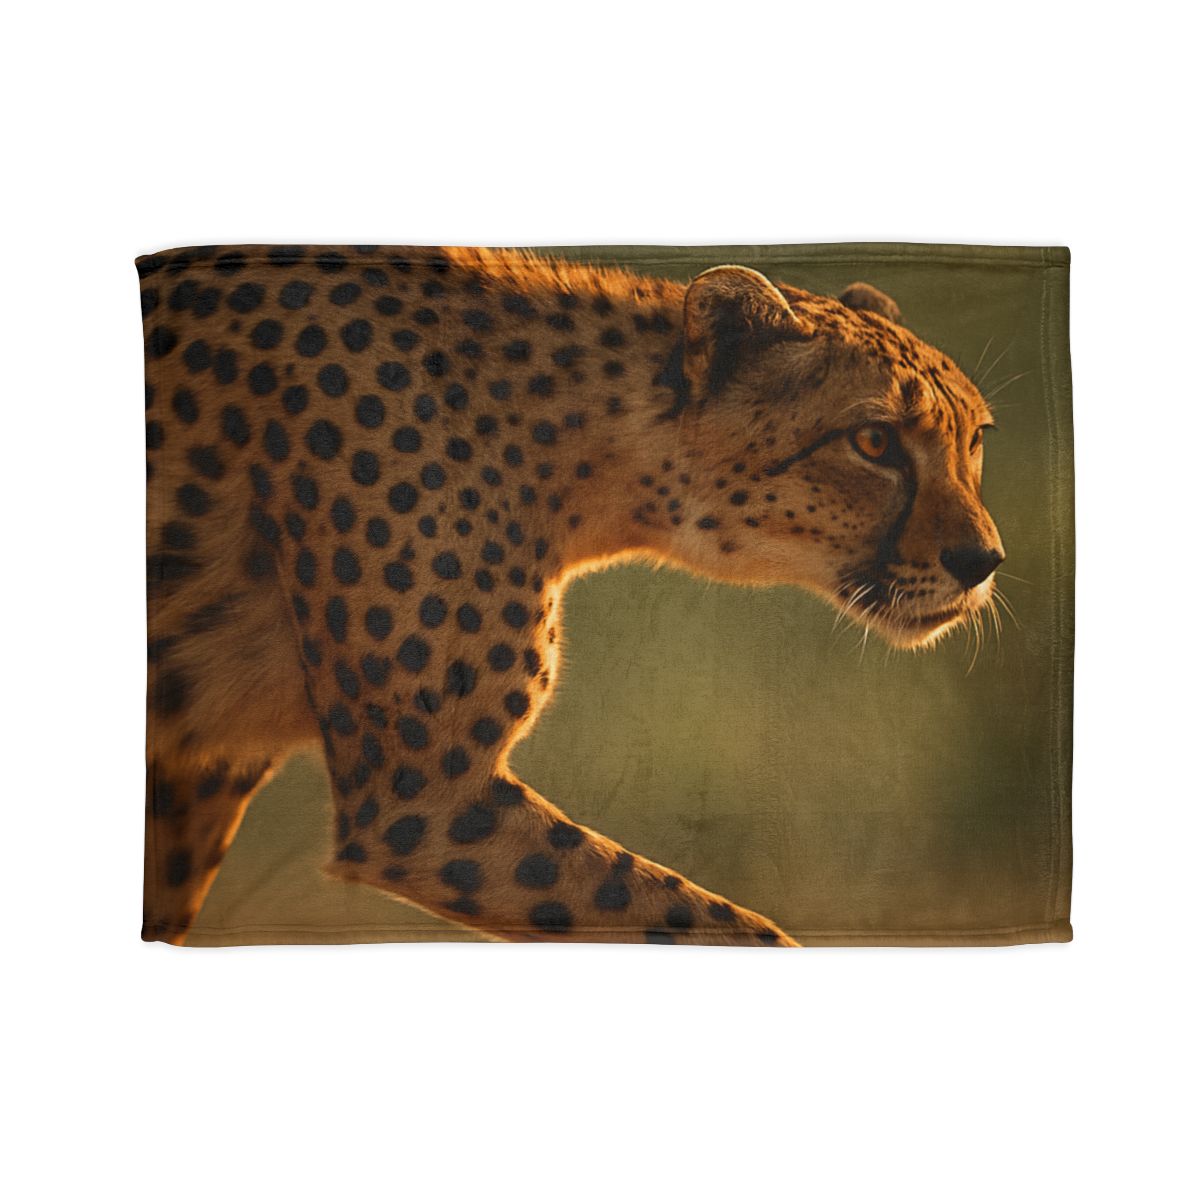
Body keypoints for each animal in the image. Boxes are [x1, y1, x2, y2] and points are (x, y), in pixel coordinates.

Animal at [139, 245, 1003, 947]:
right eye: (874, 441)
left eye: (975, 439)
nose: (983, 560)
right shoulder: (421, 803)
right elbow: (716, 924)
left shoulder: (200, 768)